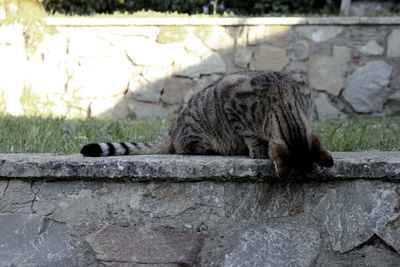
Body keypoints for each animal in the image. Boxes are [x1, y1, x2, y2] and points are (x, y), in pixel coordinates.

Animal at [79, 71, 332, 180]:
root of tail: (173, 126)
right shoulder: (229, 94)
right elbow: (248, 132)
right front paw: (257, 149)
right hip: (199, 136)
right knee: (185, 148)